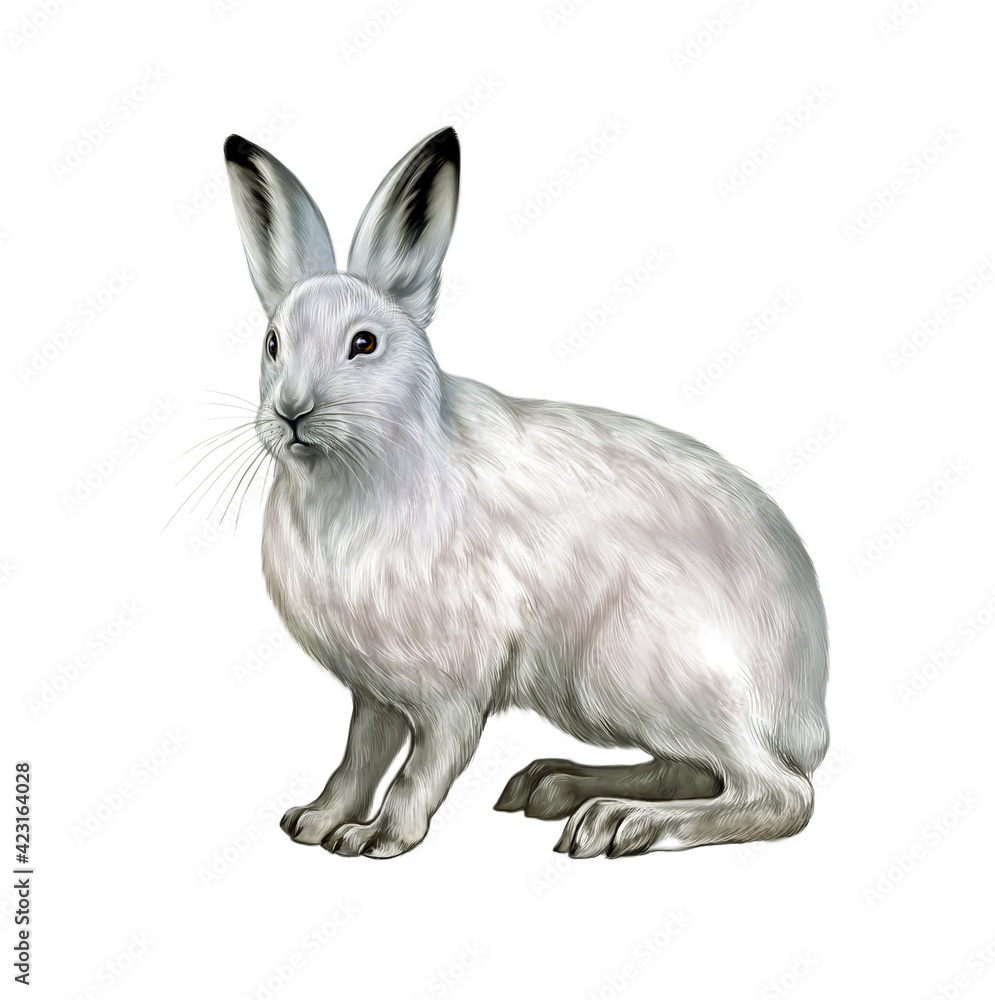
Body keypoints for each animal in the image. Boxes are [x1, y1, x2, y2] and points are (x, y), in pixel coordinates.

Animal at [223, 126, 828, 859]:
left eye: (363, 344)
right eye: (272, 343)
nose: (291, 412)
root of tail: (807, 706)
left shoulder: (450, 689)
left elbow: (424, 764)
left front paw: (377, 839)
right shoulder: (374, 693)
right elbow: (358, 757)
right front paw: (313, 821)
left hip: (638, 674)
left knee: (779, 793)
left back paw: (618, 821)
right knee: (696, 769)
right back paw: (555, 786)